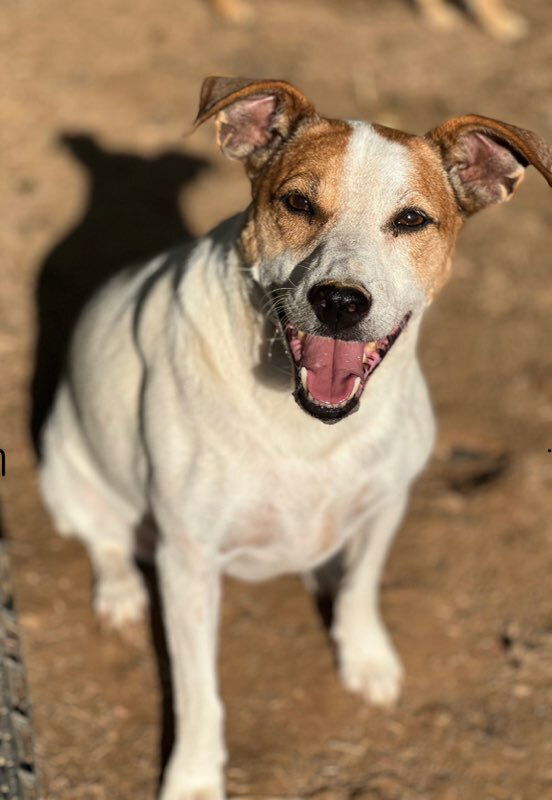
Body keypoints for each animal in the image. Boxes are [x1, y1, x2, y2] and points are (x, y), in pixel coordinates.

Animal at [40, 76, 552, 800]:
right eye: (298, 203)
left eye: (411, 221)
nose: (339, 302)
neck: (306, 424)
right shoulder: (188, 561)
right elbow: (199, 691)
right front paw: (194, 779)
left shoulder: (386, 503)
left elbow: (363, 585)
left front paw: (365, 657)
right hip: (65, 468)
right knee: (105, 539)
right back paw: (120, 595)